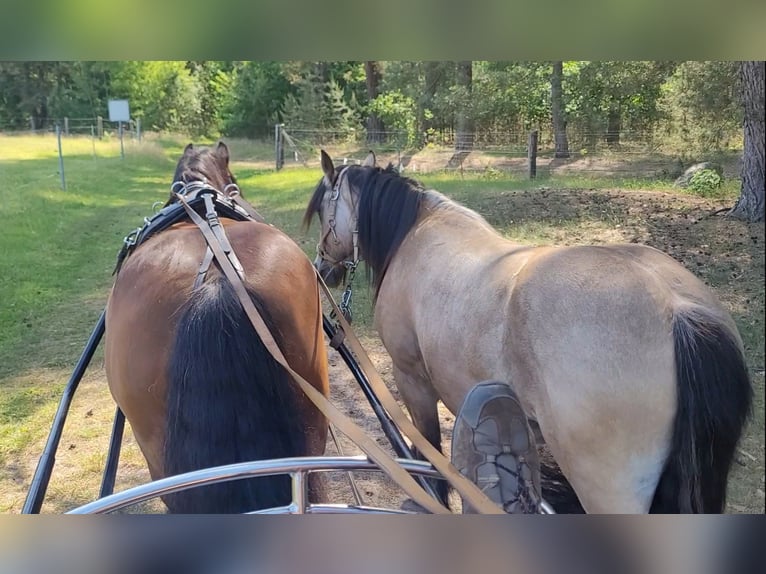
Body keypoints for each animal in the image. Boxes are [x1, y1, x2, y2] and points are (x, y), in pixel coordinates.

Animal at [304, 150, 753, 514]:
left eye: (325, 213)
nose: (322, 266)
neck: (416, 232)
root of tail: (676, 308)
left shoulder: (411, 378)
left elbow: (427, 445)